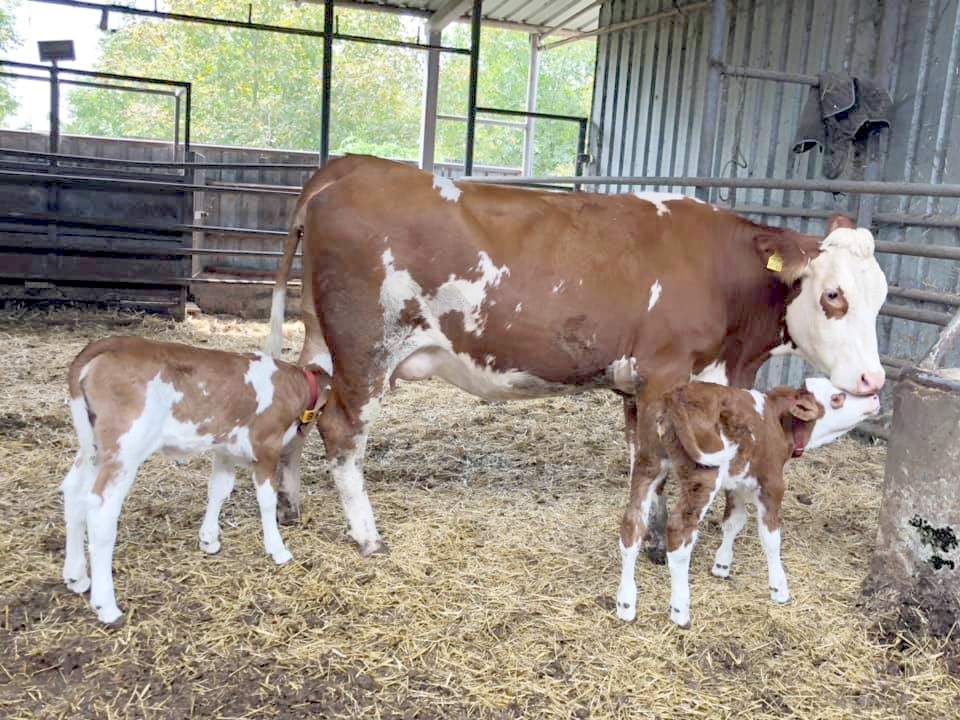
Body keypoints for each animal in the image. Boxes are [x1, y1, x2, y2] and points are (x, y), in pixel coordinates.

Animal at [62, 338, 330, 624]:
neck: (290, 384)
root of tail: (109, 343)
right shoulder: (266, 448)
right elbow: (266, 500)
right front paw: (277, 548)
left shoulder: (225, 449)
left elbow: (219, 489)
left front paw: (209, 539)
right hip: (125, 448)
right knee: (100, 510)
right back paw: (107, 606)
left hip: (93, 446)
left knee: (73, 492)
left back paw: (76, 576)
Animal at [616, 380, 876, 628]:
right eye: (837, 397)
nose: (874, 397)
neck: (776, 420)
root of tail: (675, 397)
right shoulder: (772, 483)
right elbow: (771, 538)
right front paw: (779, 589)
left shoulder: (738, 483)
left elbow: (734, 521)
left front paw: (722, 565)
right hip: (702, 475)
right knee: (679, 533)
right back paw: (680, 611)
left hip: (648, 461)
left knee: (632, 524)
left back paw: (626, 604)